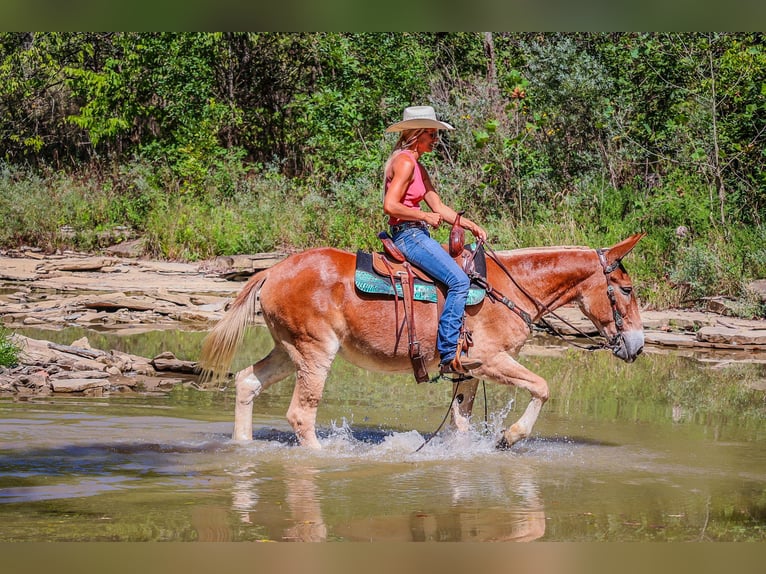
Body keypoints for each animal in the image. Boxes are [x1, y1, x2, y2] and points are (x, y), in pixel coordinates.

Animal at [198, 233, 645, 449]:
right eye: (626, 289)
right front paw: (509, 436)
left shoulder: (467, 371)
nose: (638, 346)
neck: (509, 289)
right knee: (300, 416)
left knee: (247, 381)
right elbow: (542, 386)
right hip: (314, 353)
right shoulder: (490, 360)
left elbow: (461, 423)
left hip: (288, 350)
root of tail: (271, 271)